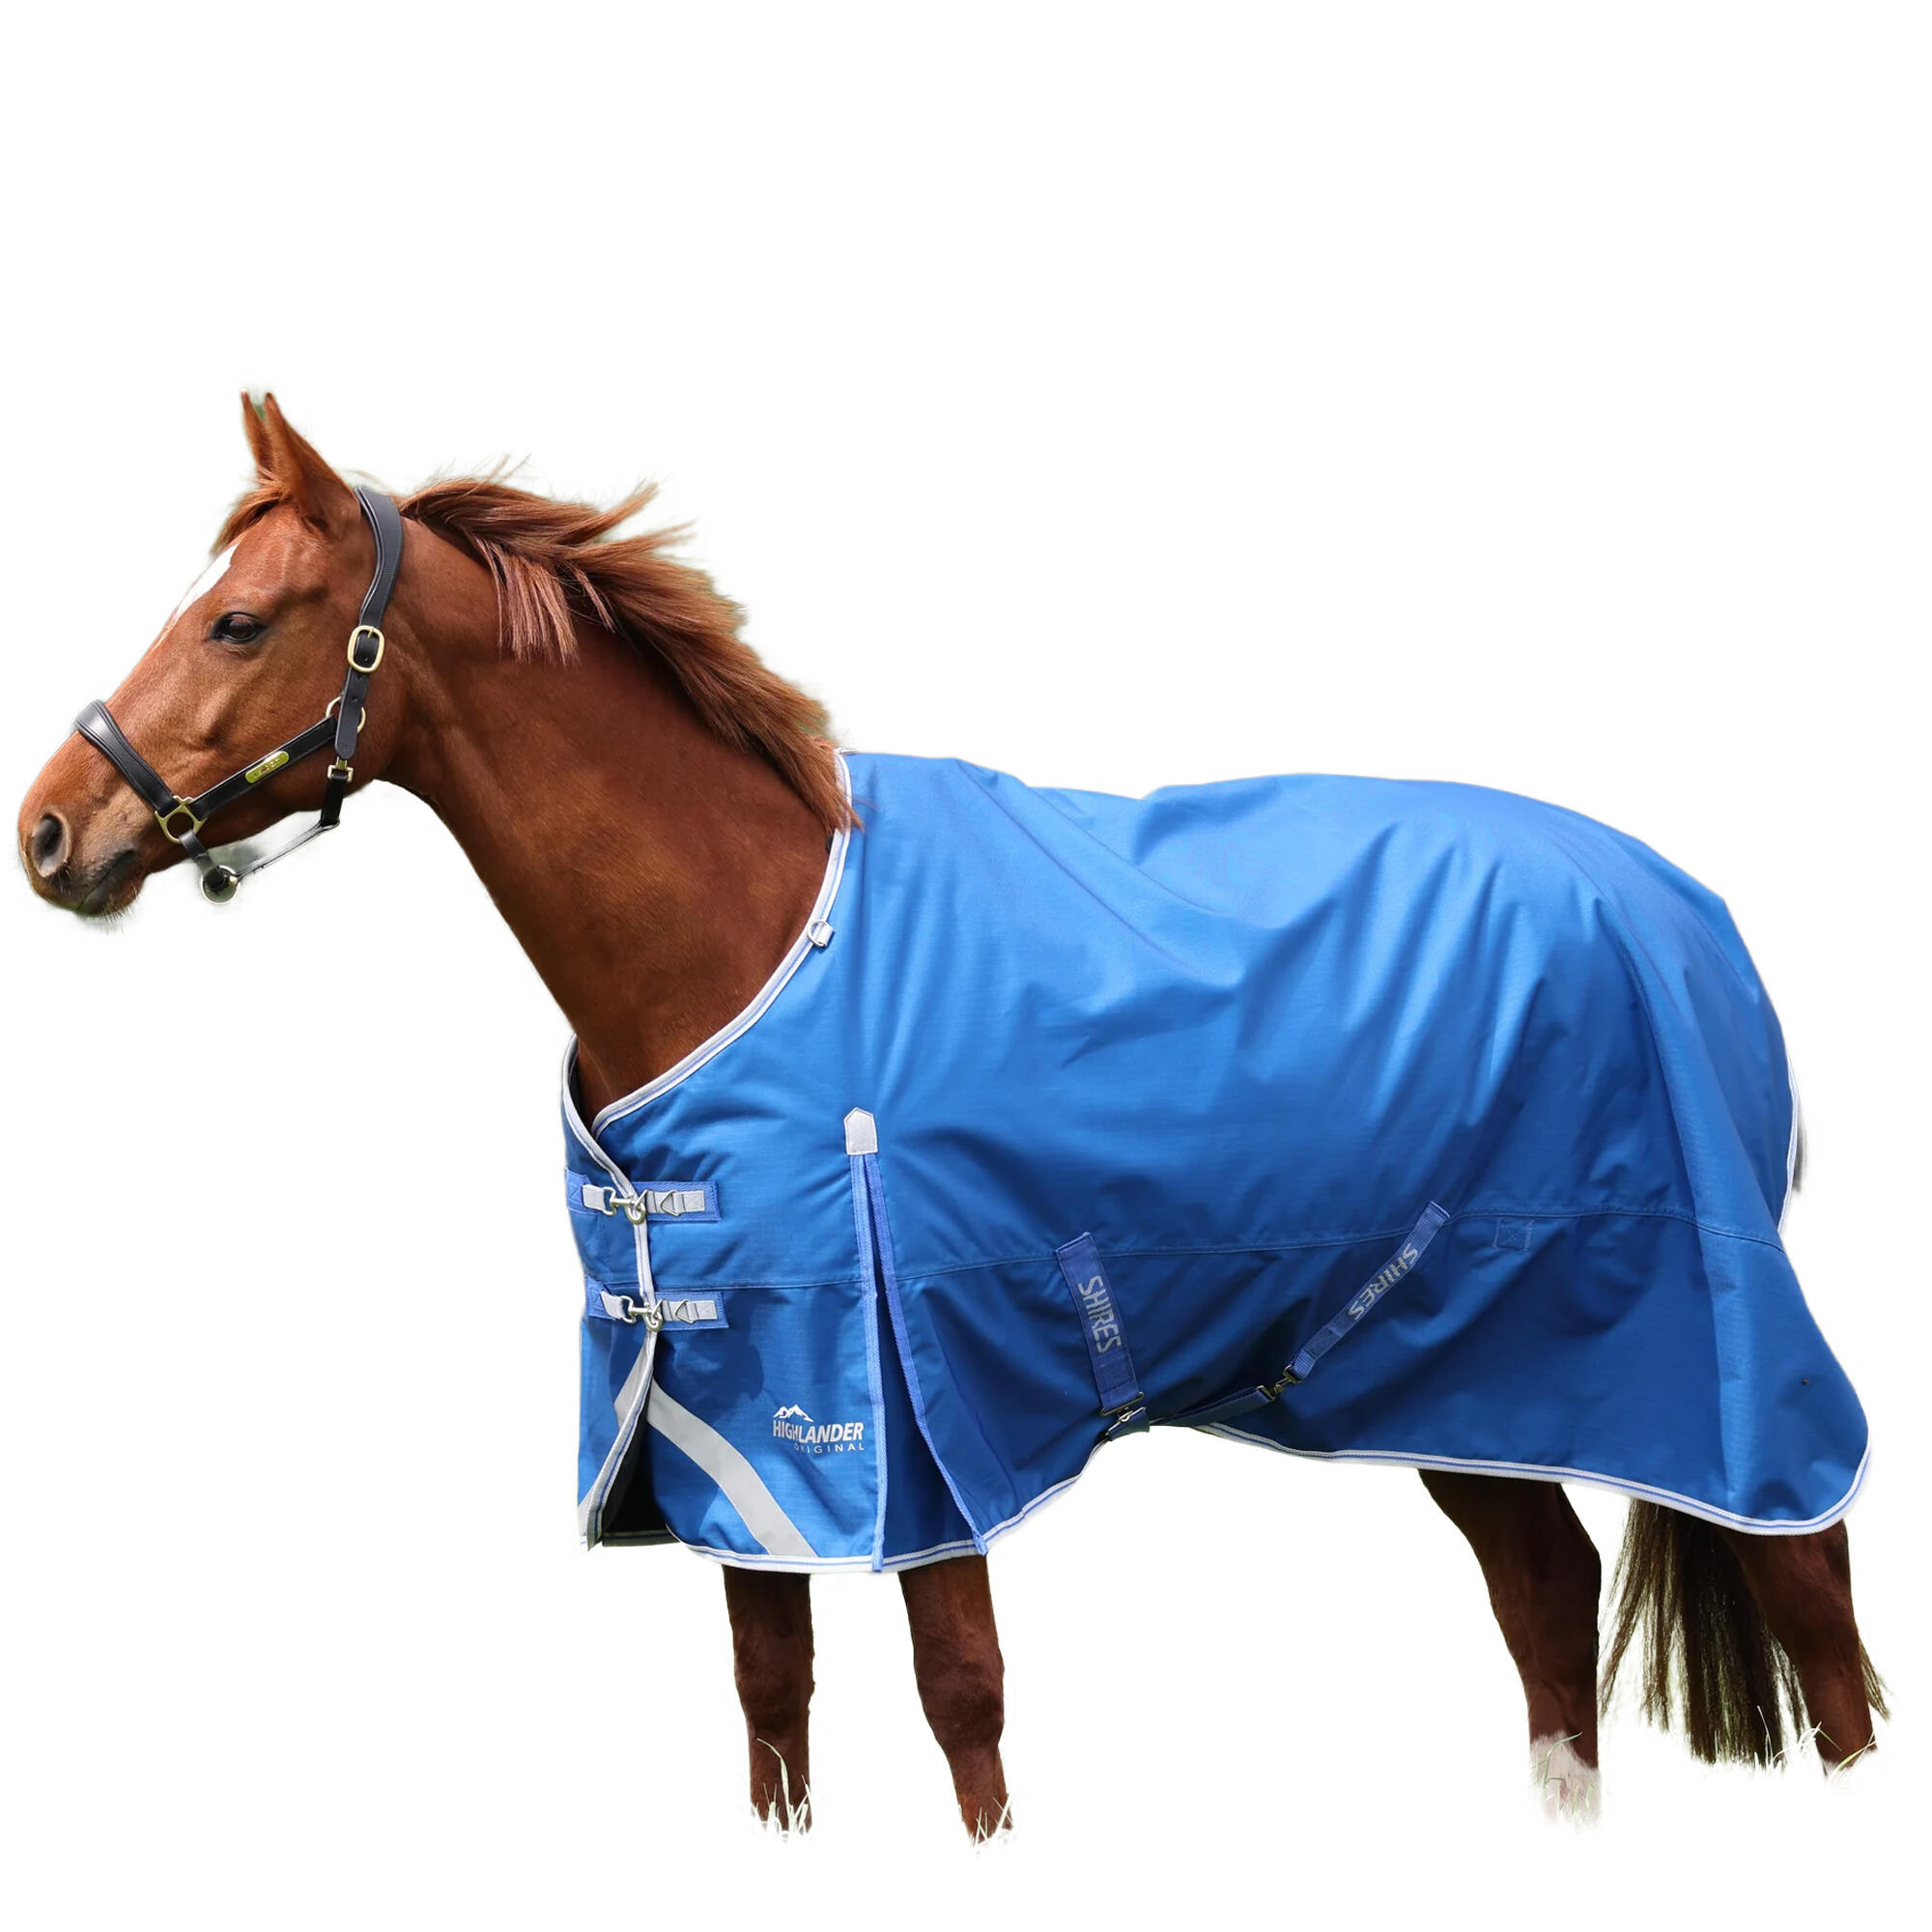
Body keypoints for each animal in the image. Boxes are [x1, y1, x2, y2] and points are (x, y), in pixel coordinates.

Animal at [18, 396, 1885, 1834]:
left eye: (238, 622)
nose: (48, 830)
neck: (749, 932)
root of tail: (1692, 911)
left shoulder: (918, 1416)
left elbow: (962, 1697)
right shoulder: (732, 1420)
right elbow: (772, 1693)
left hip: (1694, 1350)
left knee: (1813, 1598)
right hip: (1450, 1367)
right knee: (1545, 1598)